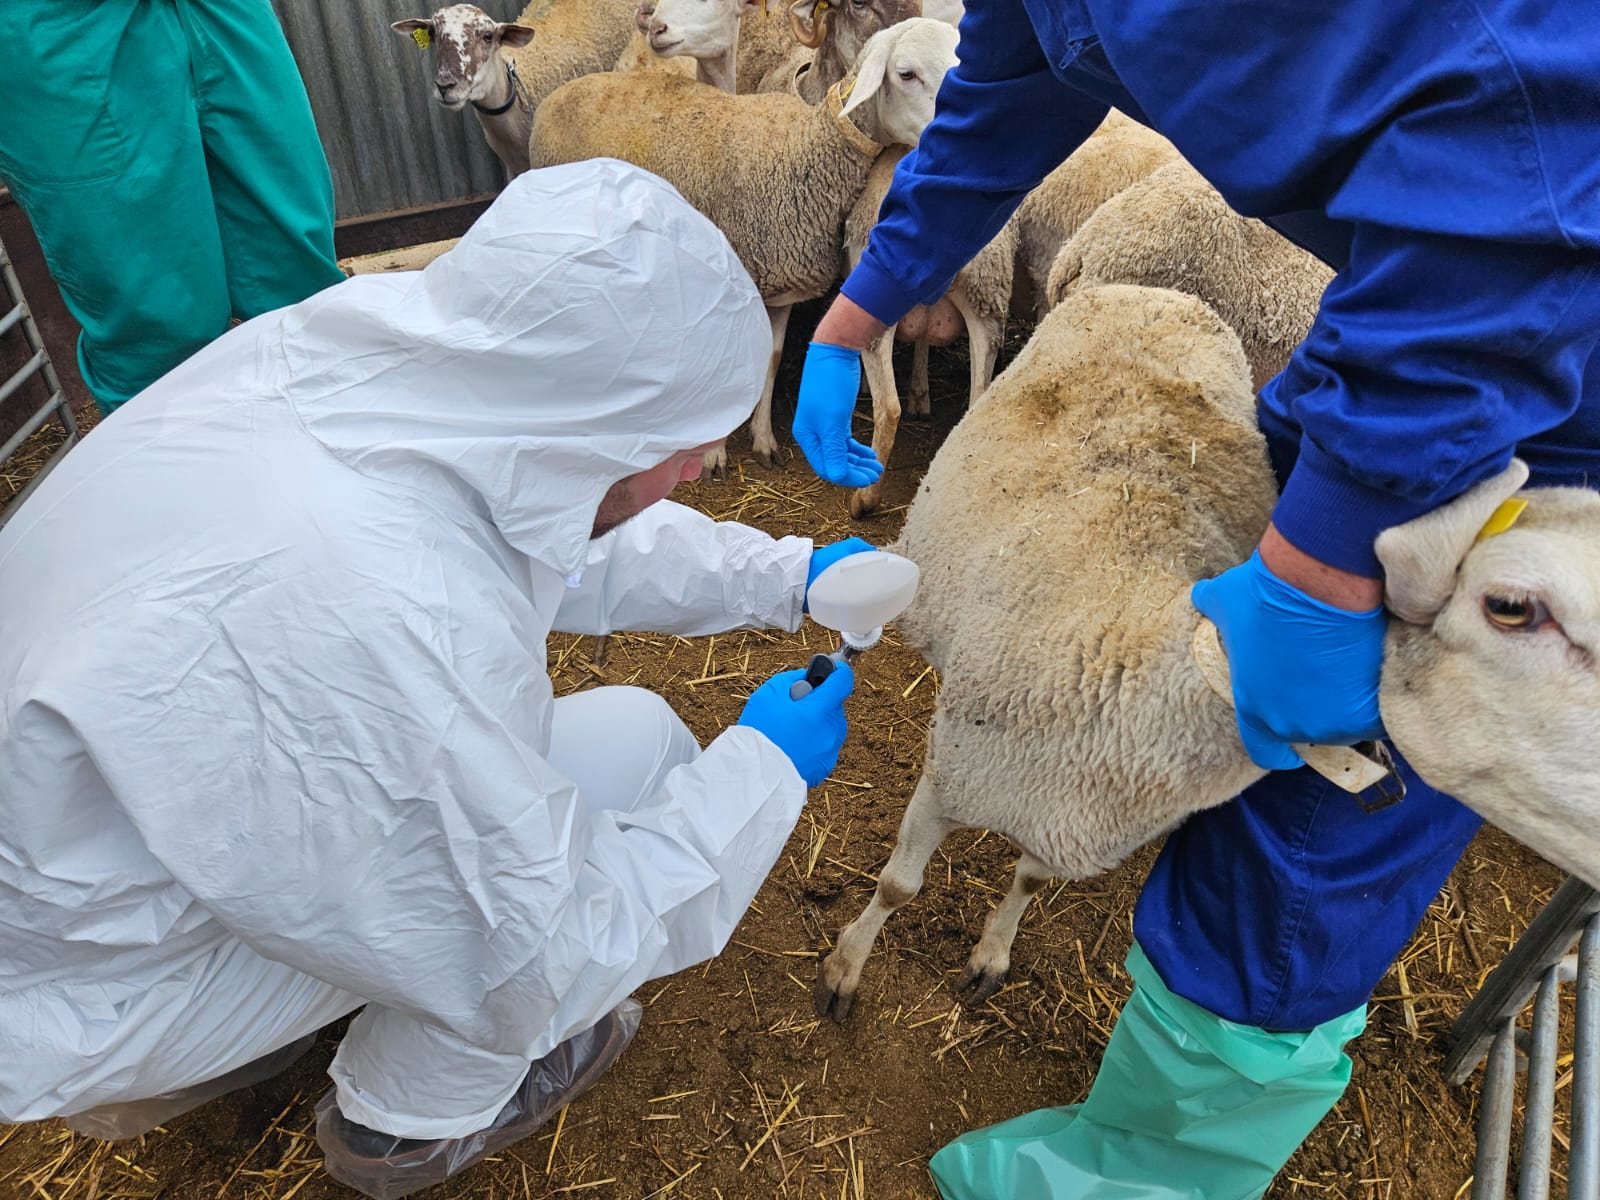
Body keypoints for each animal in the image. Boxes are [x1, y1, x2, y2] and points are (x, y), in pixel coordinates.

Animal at [531, 15, 953, 473]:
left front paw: (763, 440)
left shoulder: (781, 284)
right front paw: (713, 456)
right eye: (906, 74)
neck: (802, 152)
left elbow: (770, 359)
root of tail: (562, 92)